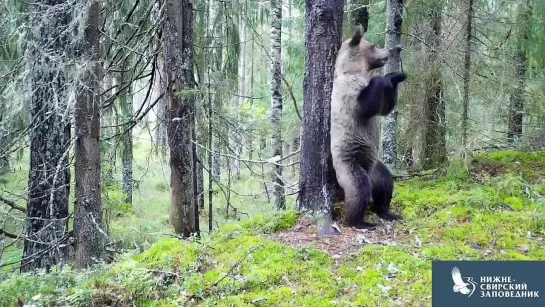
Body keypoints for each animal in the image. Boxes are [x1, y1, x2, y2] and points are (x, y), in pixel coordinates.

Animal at [330, 25, 406, 230]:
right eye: (372, 46)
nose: (387, 52)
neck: (357, 71)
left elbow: (385, 107)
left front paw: (396, 75)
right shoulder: (348, 94)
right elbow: (366, 107)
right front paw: (382, 77)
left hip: (376, 168)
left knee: (386, 185)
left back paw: (387, 212)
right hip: (350, 164)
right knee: (359, 190)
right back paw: (359, 221)